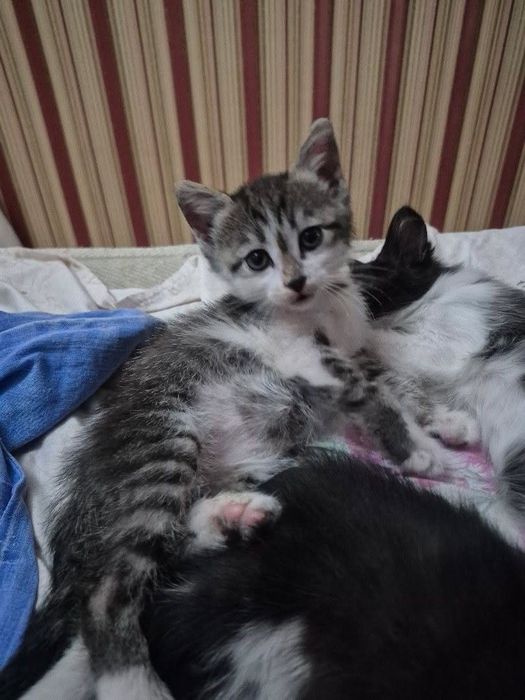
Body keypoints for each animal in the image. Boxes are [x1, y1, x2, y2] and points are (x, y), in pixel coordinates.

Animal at [0, 121, 448, 700]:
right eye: (257, 259)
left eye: (311, 238)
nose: (296, 281)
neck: (321, 309)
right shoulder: (298, 351)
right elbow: (368, 388)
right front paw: (417, 449)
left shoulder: (349, 346)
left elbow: (387, 375)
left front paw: (446, 420)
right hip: (161, 440)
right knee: (107, 588)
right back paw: (134, 683)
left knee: (156, 543)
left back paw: (231, 516)